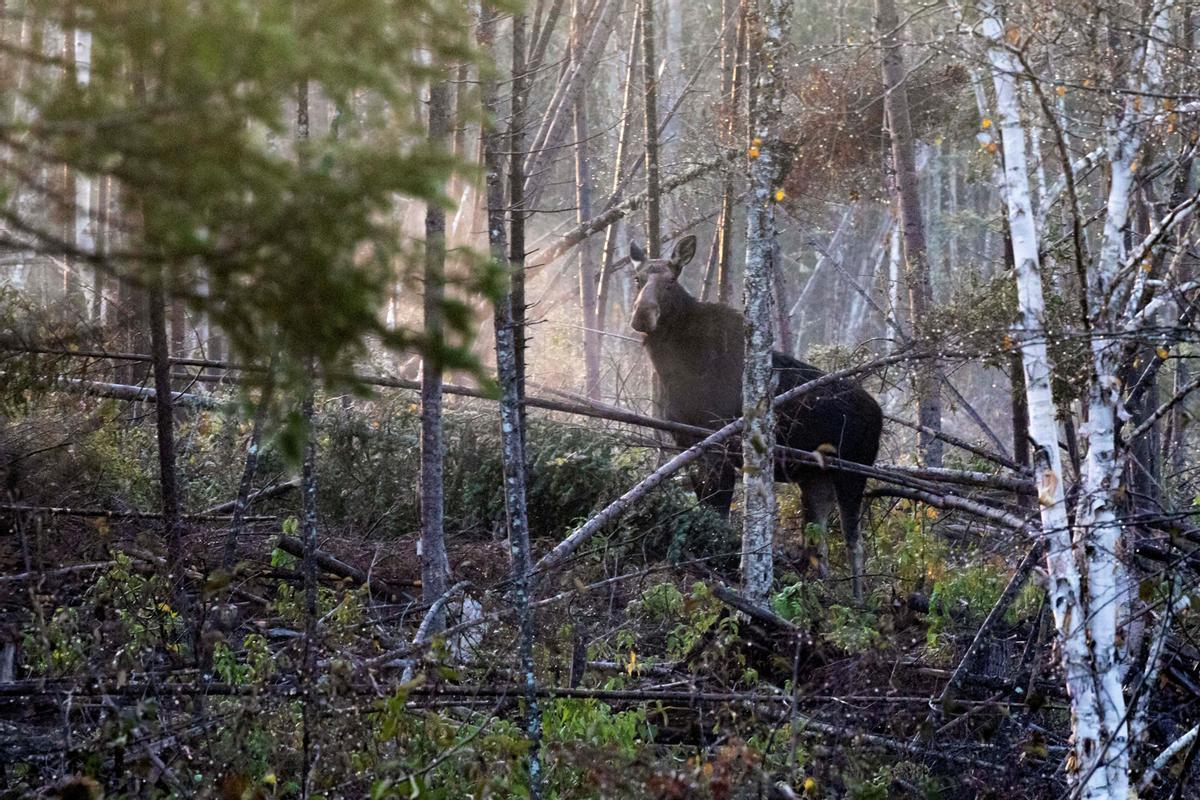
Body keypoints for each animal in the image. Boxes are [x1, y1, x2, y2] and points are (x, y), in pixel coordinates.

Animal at [628, 235, 883, 597]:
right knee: (817, 544)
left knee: (853, 541)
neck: (672, 368)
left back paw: (857, 600)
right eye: (638, 279)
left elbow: (719, 510)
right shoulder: (687, 442)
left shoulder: (720, 444)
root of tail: (879, 413)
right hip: (815, 478)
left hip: (853, 470)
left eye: (671, 281)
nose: (642, 316)